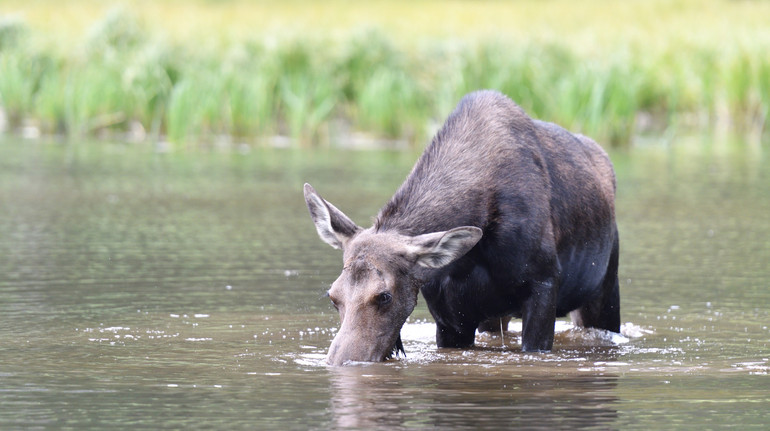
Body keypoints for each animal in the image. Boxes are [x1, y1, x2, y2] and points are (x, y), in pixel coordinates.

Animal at [304, 90, 620, 364]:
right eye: (333, 296)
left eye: (384, 296)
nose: (341, 361)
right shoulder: (450, 316)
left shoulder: (543, 286)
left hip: (604, 290)